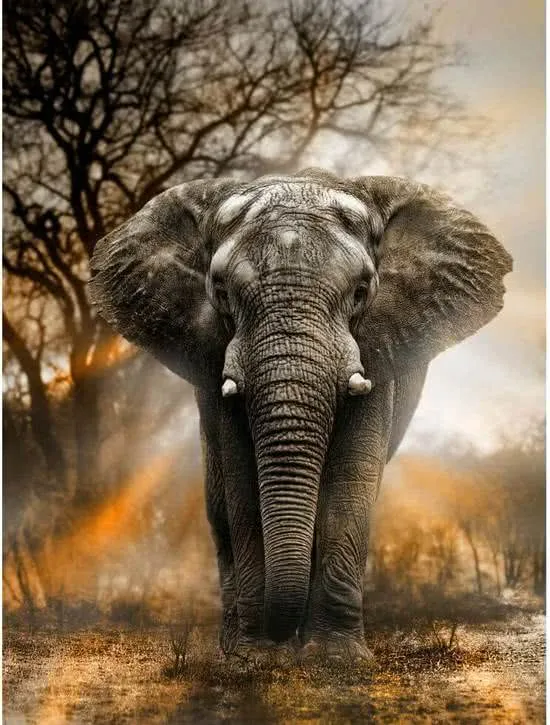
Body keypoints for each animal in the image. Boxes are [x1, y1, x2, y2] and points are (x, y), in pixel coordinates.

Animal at [89, 168, 512, 663]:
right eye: (221, 292)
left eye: (361, 292)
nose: (279, 636)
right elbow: (242, 483)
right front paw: (255, 660)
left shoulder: (376, 348)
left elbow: (351, 479)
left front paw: (336, 660)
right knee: (218, 507)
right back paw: (233, 646)